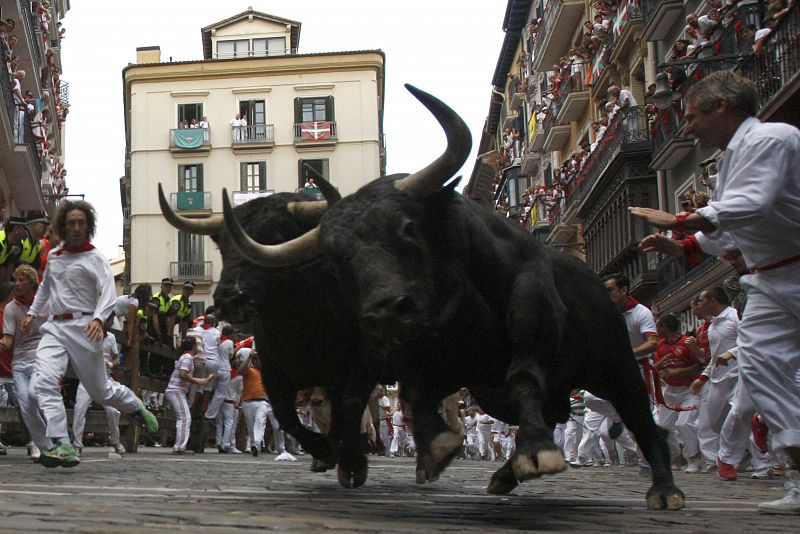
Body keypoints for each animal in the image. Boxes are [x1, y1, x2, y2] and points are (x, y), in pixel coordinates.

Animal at [157, 184, 390, 490]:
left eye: (277, 238)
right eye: (223, 246)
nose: (229, 300)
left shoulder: (361, 364)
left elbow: (350, 406)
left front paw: (350, 463)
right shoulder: (273, 367)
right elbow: (286, 415)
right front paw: (323, 451)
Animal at [222, 84, 684, 510]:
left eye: (408, 227)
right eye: (337, 262)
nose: (385, 313)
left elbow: (522, 375)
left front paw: (534, 452)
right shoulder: (361, 365)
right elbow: (382, 401)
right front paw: (425, 449)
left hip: (616, 367)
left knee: (642, 421)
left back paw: (664, 488)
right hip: (492, 392)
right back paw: (499, 473)